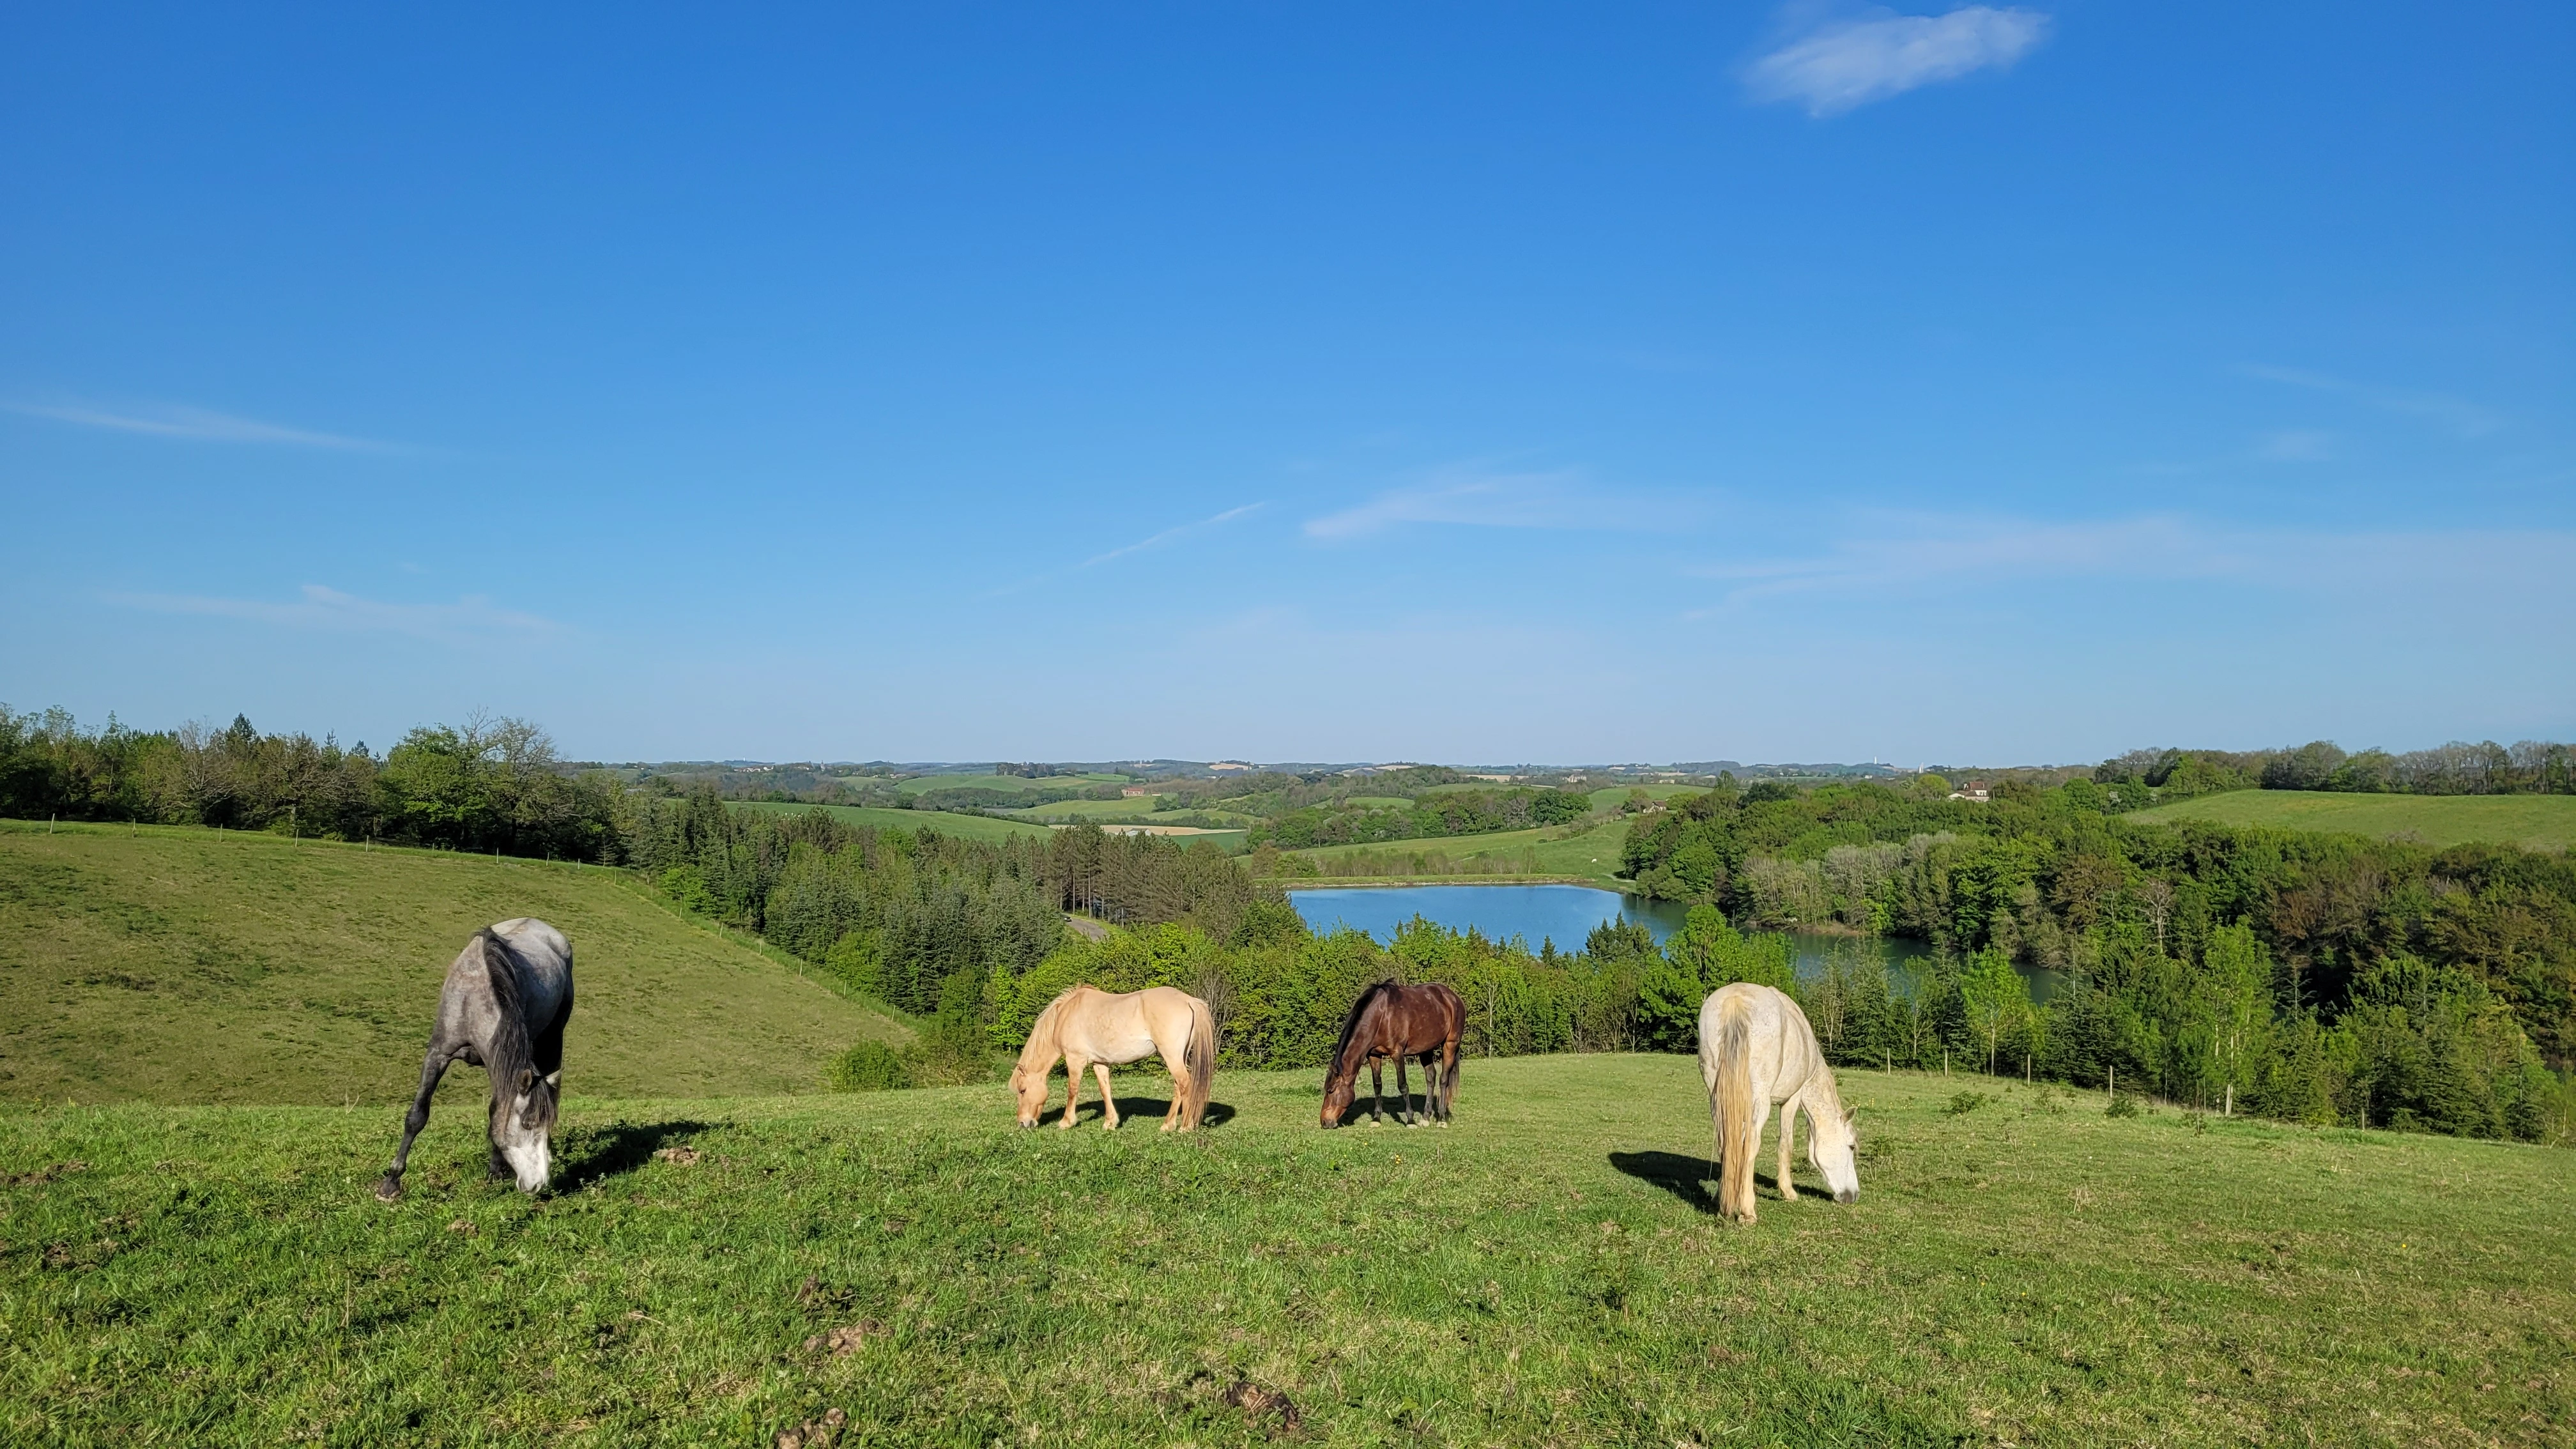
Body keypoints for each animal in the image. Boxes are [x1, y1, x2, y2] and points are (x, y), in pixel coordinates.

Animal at [374, 918, 574, 1200]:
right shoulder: (438, 1054)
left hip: (554, 1034)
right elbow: (417, 1116)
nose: (538, 1184)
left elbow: (497, 1112)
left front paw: (496, 1169)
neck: (473, 999)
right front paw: (390, 1184)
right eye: (528, 1123)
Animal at [1010, 984, 1217, 1131]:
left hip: (1172, 1056)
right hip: (1179, 1057)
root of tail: (1189, 1000)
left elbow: (1072, 1090)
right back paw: (1170, 1124)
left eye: (1022, 1090)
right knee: (1179, 1087)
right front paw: (1110, 1123)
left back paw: (1184, 1126)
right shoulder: (1100, 1062)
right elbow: (1105, 1090)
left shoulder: (1075, 1060)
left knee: (1185, 1084)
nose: (1022, 1123)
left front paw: (1066, 1122)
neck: (1067, 1013)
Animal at [1320, 981, 1463, 1128]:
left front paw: (1410, 1120)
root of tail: (1453, 998)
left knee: (1444, 1080)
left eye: (1331, 1090)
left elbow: (1403, 1086)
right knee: (1431, 1078)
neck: (1381, 1017)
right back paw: (1425, 1118)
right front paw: (1376, 1118)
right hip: (1426, 1050)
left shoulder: (1397, 1053)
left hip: (1450, 1044)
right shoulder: (1374, 1055)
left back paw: (1441, 1119)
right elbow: (1377, 1085)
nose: (1324, 1122)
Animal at [1698, 982, 1858, 1224]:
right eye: (1851, 1146)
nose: (1853, 1195)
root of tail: (1735, 1002)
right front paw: (1788, 1192)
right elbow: (1786, 1143)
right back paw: (1747, 1211)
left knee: (1724, 1142)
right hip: (1759, 1100)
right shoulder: (1793, 1098)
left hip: (1716, 1095)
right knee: (1751, 1144)